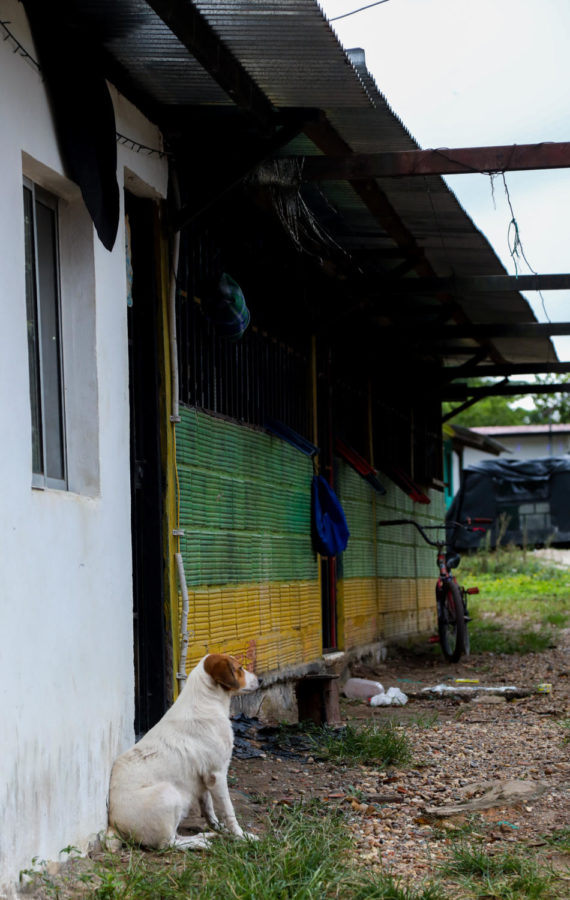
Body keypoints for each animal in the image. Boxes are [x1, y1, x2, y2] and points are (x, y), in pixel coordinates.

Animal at [106, 652, 260, 852]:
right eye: (239, 668)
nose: (260, 679)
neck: (206, 700)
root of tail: (113, 826)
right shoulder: (217, 774)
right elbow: (229, 812)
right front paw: (242, 836)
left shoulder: (203, 779)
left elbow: (209, 809)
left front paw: (218, 828)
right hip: (168, 793)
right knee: (168, 844)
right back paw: (199, 842)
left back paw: (205, 835)